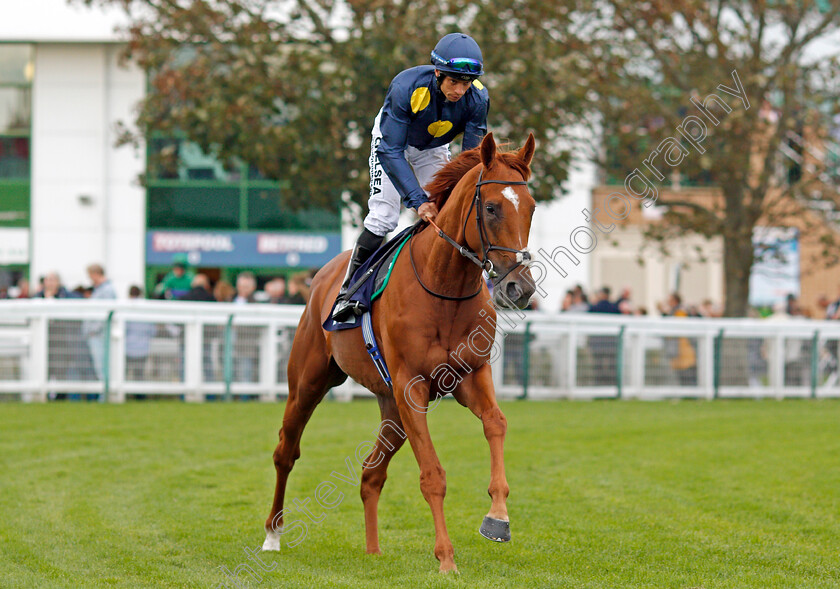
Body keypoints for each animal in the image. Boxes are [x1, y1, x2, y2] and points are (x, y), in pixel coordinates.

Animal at [264, 133, 540, 568]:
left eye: (531, 209)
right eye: (492, 207)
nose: (520, 289)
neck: (444, 287)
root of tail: (323, 275)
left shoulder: (469, 376)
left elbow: (496, 423)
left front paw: (497, 518)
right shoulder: (412, 387)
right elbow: (433, 476)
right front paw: (446, 558)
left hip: (390, 406)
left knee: (370, 473)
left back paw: (373, 550)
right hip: (308, 381)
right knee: (286, 452)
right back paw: (273, 535)